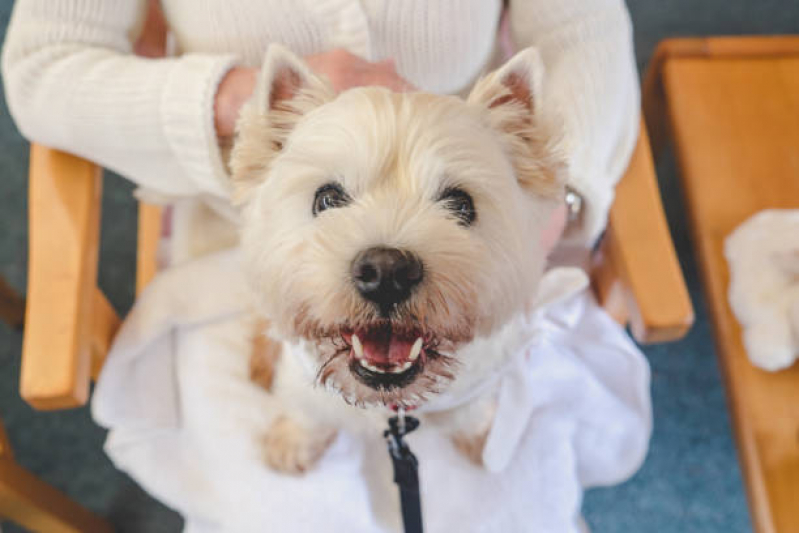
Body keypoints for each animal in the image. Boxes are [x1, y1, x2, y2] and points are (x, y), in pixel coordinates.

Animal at [231, 43, 564, 472]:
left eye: (461, 205)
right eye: (327, 198)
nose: (386, 272)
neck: (391, 405)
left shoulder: (475, 389)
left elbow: (472, 415)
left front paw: (484, 442)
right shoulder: (305, 385)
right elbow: (308, 410)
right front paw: (292, 442)